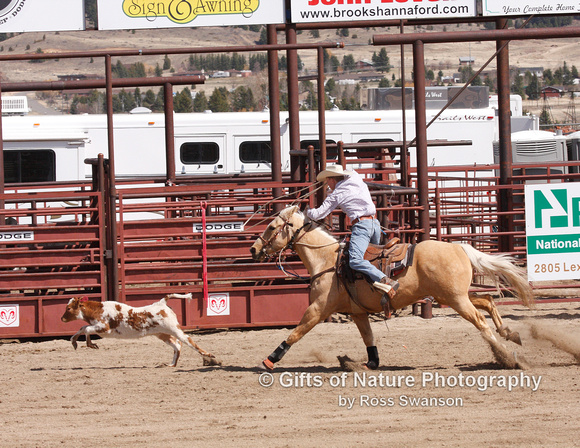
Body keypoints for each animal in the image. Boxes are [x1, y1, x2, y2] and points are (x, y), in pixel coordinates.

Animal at [60, 294, 220, 368]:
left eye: (69, 308)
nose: (62, 318)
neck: (98, 310)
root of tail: (161, 302)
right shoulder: (99, 328)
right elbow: (83, 328)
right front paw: (76, 342)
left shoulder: (104, 328)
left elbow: (86, 328)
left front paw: (89, 344)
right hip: (162, 334)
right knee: (177, 345)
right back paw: (171, 364)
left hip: (174, 329)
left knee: (188, 341)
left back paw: (209, 356)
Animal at [250, 206, 536, 372]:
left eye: (272, 227)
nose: (253, 249)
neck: (328, 261)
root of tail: (459, 247)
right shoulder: (358, 313)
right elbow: (368, 338)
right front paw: (369, 363)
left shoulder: (318, 309)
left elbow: (295, 333)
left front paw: (269, 360)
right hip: (453, 296)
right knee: (487, 301)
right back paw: (509, 333)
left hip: (456, 300)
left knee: (479, 319)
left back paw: (506, 356)